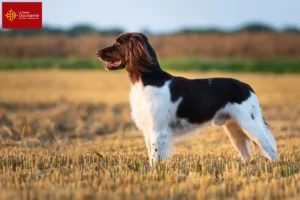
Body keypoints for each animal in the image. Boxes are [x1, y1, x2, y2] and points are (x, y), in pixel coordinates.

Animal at [97, 32, 278, 166]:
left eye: (118, 43)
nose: (97, 52)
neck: (148, 80)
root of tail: (248, 87)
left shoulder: (157, 130)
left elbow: (155, 158)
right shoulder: (148, 131)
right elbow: (150, 156)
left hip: (251, 125)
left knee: (272, 151)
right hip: (235, 128)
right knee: (246, 154)